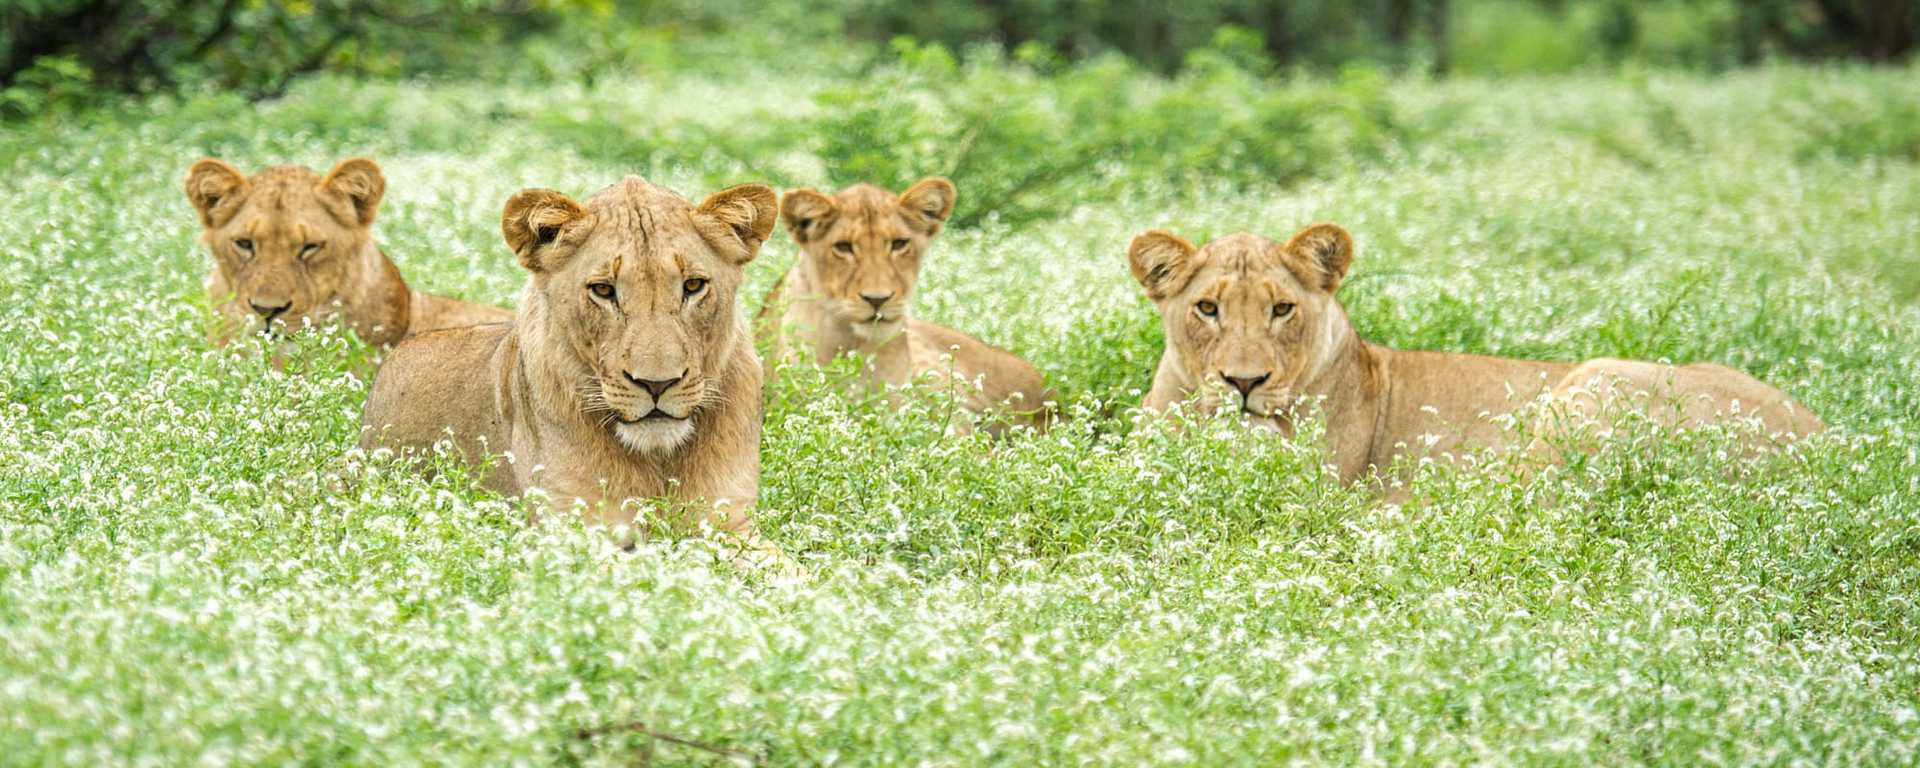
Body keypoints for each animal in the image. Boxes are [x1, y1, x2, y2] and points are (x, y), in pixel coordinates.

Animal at [357, 176, 783, 568]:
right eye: (604, 290)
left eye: (693, 286)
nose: (656, 383)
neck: (658, 461)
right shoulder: (570, 535)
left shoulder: (732, 527)